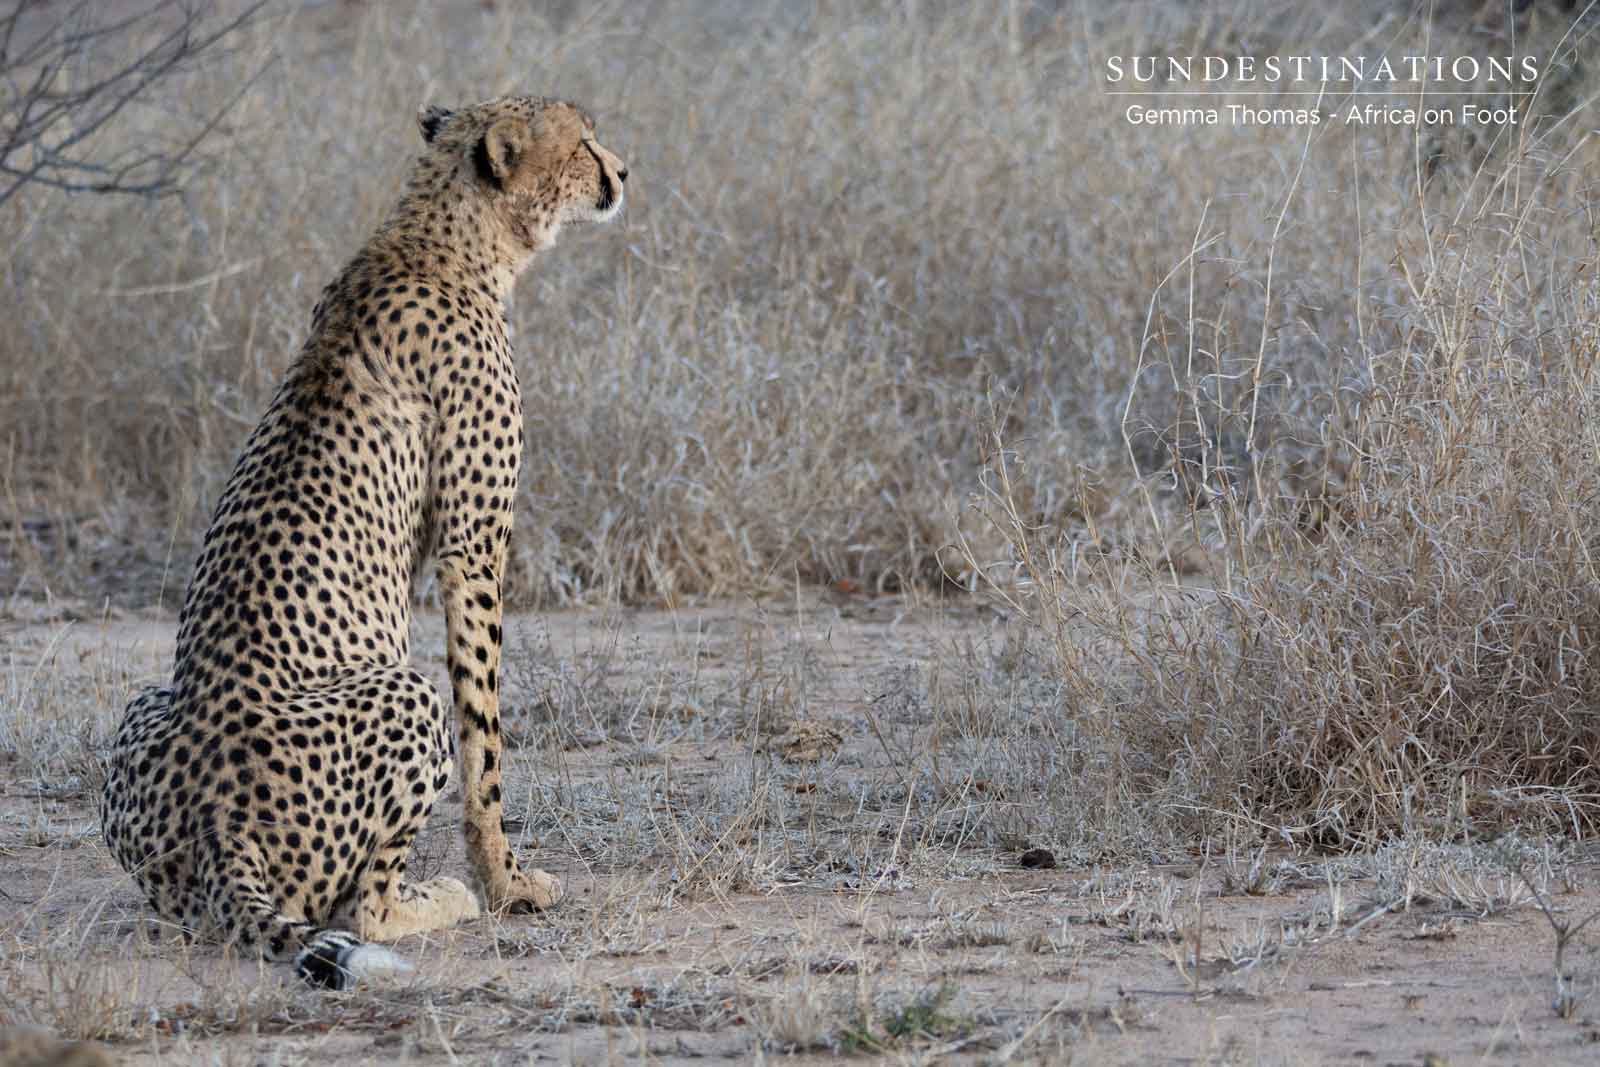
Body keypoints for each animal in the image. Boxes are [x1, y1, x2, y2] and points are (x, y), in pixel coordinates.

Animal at [101, 96, 627, 989]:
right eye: (582, 143)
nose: (623, 171)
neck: (439, 237)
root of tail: (215, 825)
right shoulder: (473, 545)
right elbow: (485, 739)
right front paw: (508, 882)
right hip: (406, 695)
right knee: (361, 909)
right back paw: (438, 898)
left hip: (145, 711)